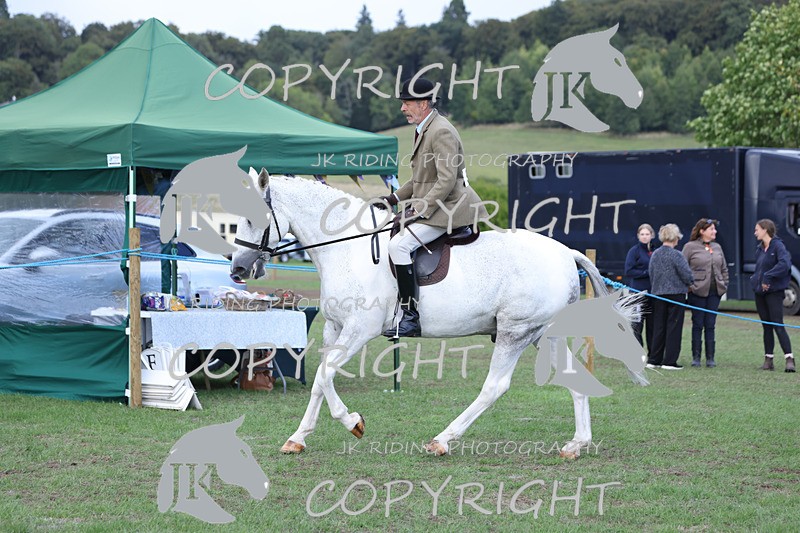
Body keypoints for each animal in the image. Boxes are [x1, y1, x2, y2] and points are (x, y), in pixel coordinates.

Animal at [230, 170, 648, 459]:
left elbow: (323, 374)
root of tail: (566, 252)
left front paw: (352, 423)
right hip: (544, 333)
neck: (346, 249)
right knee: (574, 377)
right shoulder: (335, 327)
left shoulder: (360, 329)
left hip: (515, 332)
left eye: (252, 217)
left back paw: (442, 440)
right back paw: (576, 445)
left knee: (494, 387)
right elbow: (321, 378)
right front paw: (299, 438)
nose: (237, 269)